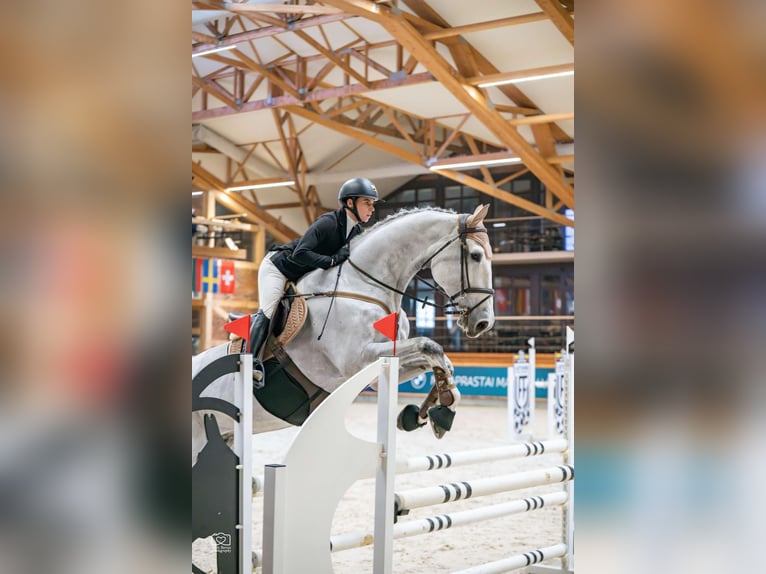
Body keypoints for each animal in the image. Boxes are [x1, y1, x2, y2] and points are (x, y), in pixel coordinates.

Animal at [189, 205, 496, 466]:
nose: (484, 323)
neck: (362, 284)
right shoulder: (357, 359)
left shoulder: (379, 367)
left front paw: (431, 409)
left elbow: (438, 360)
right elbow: (429, 346)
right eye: (476, 256)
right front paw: (442, 409)